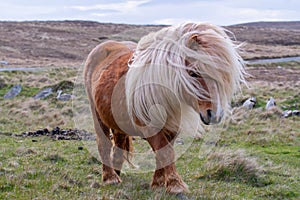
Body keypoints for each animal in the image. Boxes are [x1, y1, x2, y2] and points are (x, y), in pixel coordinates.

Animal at [83, 22, 245, 195]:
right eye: (193, 73)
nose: (214, 114)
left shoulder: (172, 127)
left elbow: (163, 153)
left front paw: (158, 183)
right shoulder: (149, 127)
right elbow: (165, 152)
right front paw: (175, 185)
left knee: (118, 145)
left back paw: (117, 173)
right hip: (97, 115)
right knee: (104, 144)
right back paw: (110, 178)